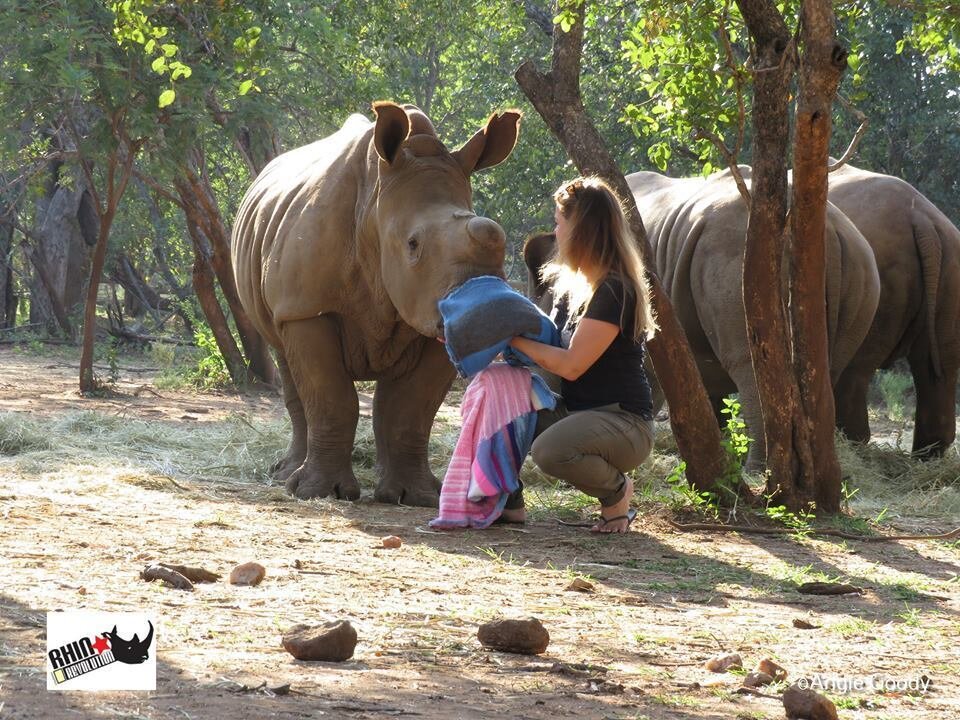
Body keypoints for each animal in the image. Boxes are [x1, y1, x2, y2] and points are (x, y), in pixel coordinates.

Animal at [232, 101, 520, 506]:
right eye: (413, 244)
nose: (490, 322)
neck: (376, 208)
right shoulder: (306, 308)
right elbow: (331, 399)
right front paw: (321, 492)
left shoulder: (430, 312)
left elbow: (411, 411)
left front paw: (417, 497)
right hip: (283, 294)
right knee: (287, 363)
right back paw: (287, 476)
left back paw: (389, 486)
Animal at [829, 162, 960, 456]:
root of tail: (921, 218)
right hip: (950, 271)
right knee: (940, 369)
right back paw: (927, 456)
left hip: (882, 280)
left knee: (855, 370)